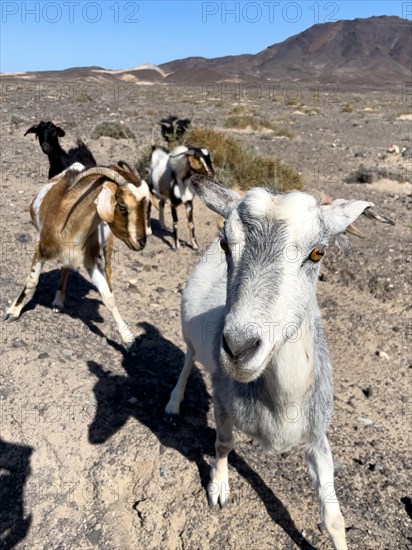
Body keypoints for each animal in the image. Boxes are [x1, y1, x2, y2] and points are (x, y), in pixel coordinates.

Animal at [3, 162, 151, 350]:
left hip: (108, 245)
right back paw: (58, 301)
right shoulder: (42, 249)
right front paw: (13, 312)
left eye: (146, 205)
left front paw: (127, 337)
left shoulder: (91, 261)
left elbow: (108, 297)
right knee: (65, 268)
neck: (70, 225)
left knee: (107, 271)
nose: (142, 242)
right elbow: (31, 282)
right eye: (122, 206)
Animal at [166, 177, 394, 550]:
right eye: (226, 243)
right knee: (187, 359)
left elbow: (334, 518)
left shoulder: (317, 434)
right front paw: (219, 489)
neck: (282, 403)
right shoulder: (222, 399)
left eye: (318, 252)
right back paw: (173, 402)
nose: (239, 348)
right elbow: (224, 444)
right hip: (190, 336)